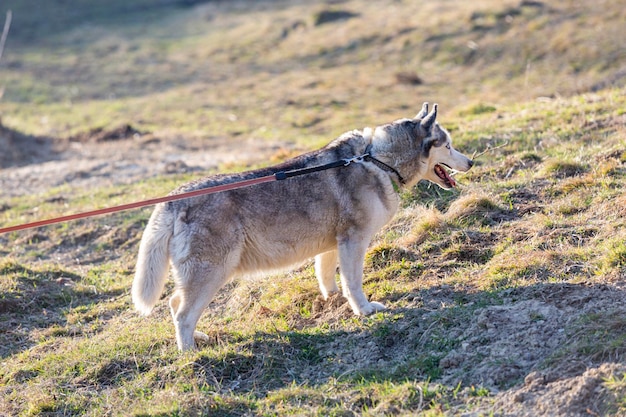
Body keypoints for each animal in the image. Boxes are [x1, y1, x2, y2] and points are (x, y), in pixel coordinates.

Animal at [133, 102, 472, 350]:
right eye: (448, 145)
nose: (471, 162)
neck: (376, 160)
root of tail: (174, 198)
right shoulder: (354, 240)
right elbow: (354, 282)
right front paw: (363, 309)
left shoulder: (333, 244)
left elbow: (328, 277)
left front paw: (333, 301)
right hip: (213, 272)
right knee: (183, 313)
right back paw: (189, 352)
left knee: (175, 302)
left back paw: (198, 338)